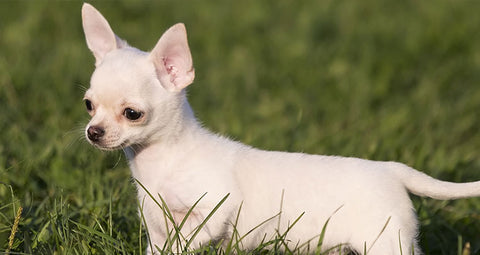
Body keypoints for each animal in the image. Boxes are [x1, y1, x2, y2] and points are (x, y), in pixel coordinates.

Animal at [81, 2, 480, 254]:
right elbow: (162, 247)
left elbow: (190, 240)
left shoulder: (213, 210)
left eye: (132, 113)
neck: (161, 161)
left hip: (386, 242)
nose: (93, 132)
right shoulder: (157, 223)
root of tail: (392, 170)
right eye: (88, 105)